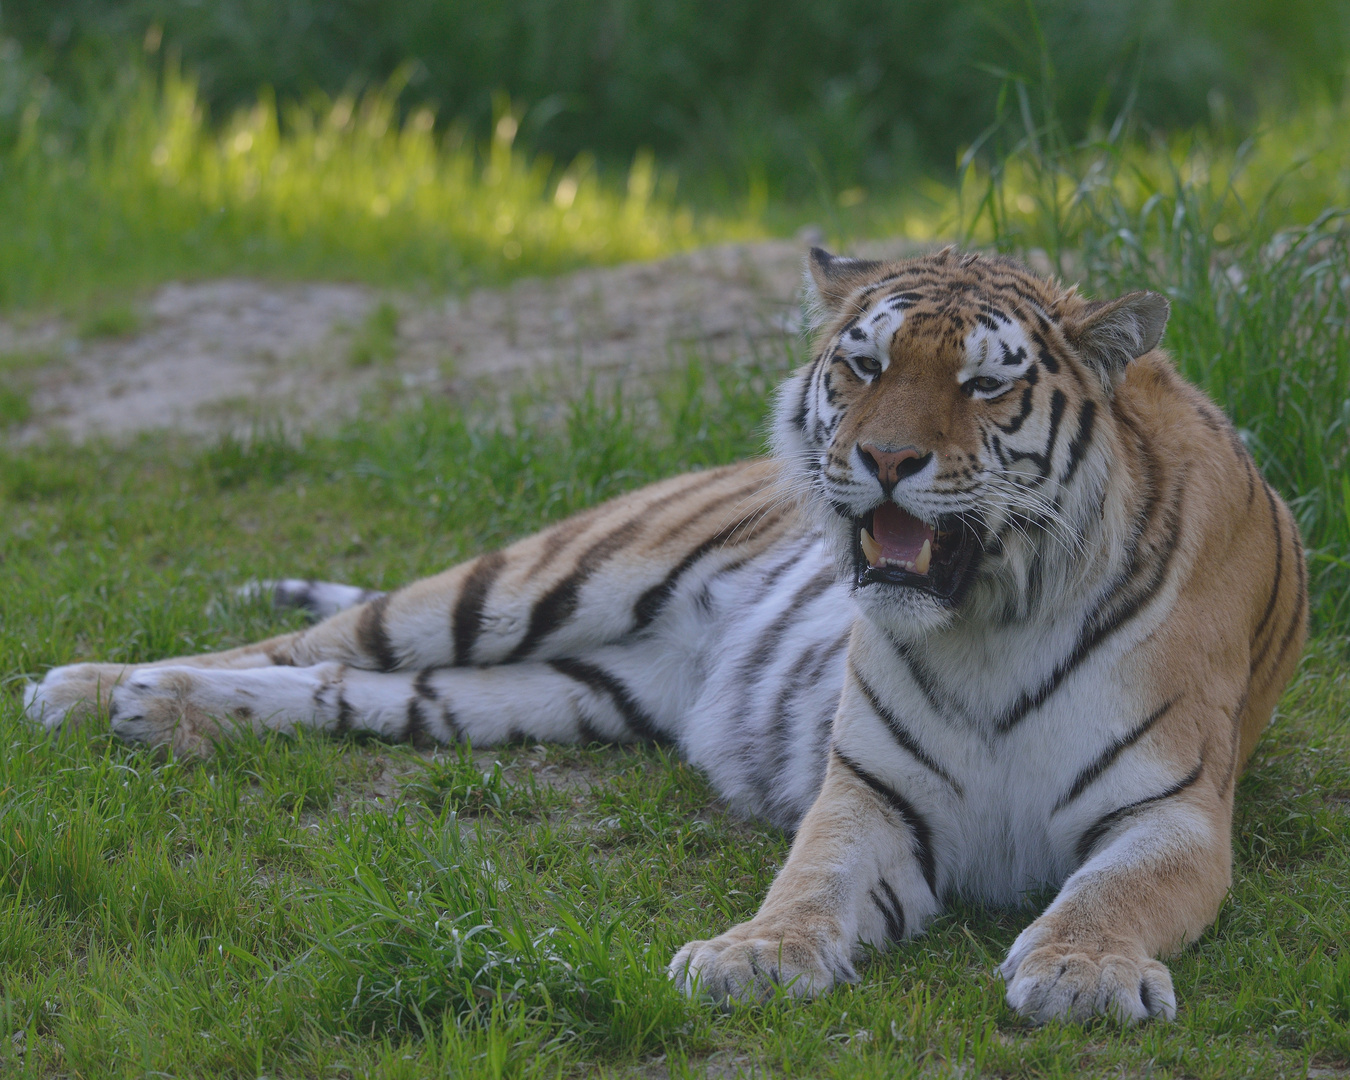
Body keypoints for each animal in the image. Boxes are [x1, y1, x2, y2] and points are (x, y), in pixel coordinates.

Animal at [21, 244, 1306, 1020]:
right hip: (537, 578)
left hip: (550, 690)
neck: (989, 618)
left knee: (346, 692)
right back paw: (90, 687)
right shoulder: (873, 794)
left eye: (985, 387)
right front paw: (752, 958)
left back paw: (155, 709)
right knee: (316, 646)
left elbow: (1109, 896)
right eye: (864, 363)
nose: (884, 459)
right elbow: (811, 880)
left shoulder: (1171, 813)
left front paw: (1082, 973)